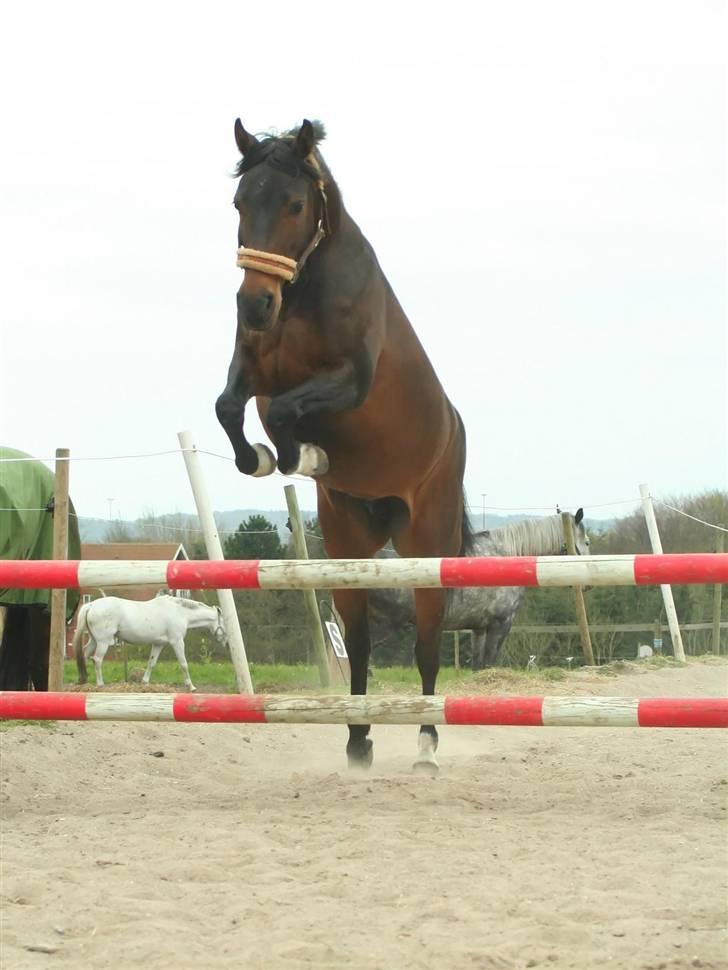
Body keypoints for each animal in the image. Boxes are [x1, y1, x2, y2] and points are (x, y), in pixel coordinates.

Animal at [73, 592, 225, 692]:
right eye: (224, 621)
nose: (225, 641)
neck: (180, 612)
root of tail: (91, 605)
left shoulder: (158, 644)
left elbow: (151, 663)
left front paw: (145, 683)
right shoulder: (177, 642)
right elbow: (184, 664)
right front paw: (191, 686)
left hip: (94, 640)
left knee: (84, 655)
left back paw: (83, 681)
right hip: (103, 642)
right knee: (97, 660)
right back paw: (100, 684)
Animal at [215, 121, 472, 772]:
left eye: (294, 204)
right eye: (239, 203)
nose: (253, 304)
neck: (303, 290)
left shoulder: (348, 381)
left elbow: (286, 413)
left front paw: (303, 455)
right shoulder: (252, 369)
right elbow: (231, 409)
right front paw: (264, 457)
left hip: (427, 545)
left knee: (427, 647)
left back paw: (426, 743)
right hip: (348, 542)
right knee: (357, 644)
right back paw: (358, 740)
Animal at [370, 510, 592, 668]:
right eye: (587, 542)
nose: (588, 585)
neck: (506, 558)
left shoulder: (479, 629)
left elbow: (478, 667)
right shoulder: (500, 624)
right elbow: (489, 663)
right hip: (385, 623)